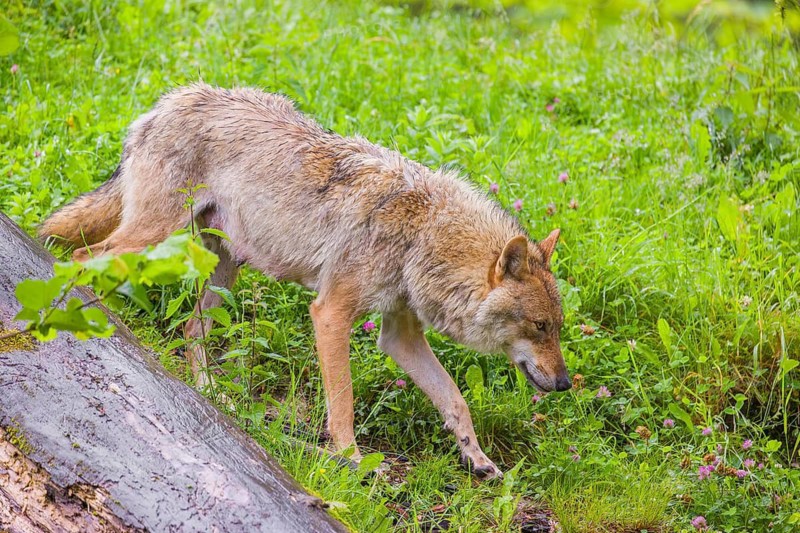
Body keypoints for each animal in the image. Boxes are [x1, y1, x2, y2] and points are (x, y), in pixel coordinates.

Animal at [40, 83, 571, 479]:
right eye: (540, 327)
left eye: (557, 328)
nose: (566, 384)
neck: (423, 235)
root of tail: (171, 99)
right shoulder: (331, 313)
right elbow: (344, 403)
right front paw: (353, 461)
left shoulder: (399, 335)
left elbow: (455, 398)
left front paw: (477, 458)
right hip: (155, 239)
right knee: (85, 256)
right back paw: (92, 320)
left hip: (223, 267)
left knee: (191, 329)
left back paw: (212, 394)